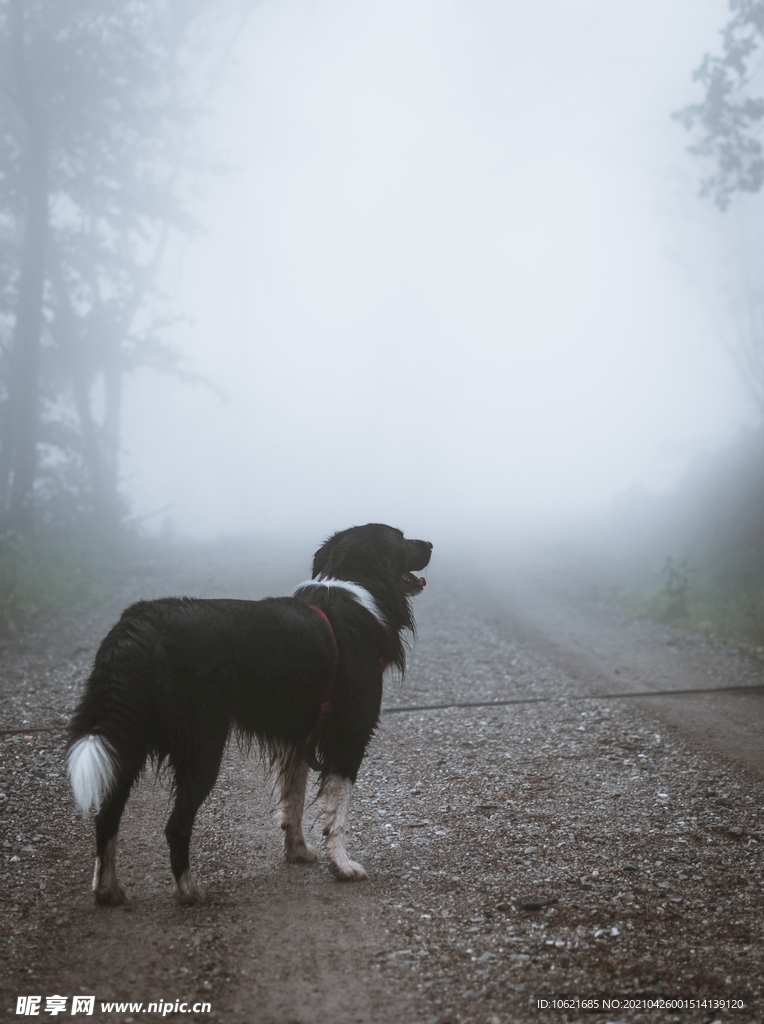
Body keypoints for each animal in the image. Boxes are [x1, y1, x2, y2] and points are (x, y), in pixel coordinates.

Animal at [67, 528, 428, 905]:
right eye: (401, 538)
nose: (430, 545)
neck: (356, 583)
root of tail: (137, 623)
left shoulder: (299, 737)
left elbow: (294, 800)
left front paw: (297, 851)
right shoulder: (349, 736)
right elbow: (337, 813)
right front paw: (342, 867)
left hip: (126, 740)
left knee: (107, 816)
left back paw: (107, 889)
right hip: (202, 746)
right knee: (175, 825)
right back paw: (188, 890)